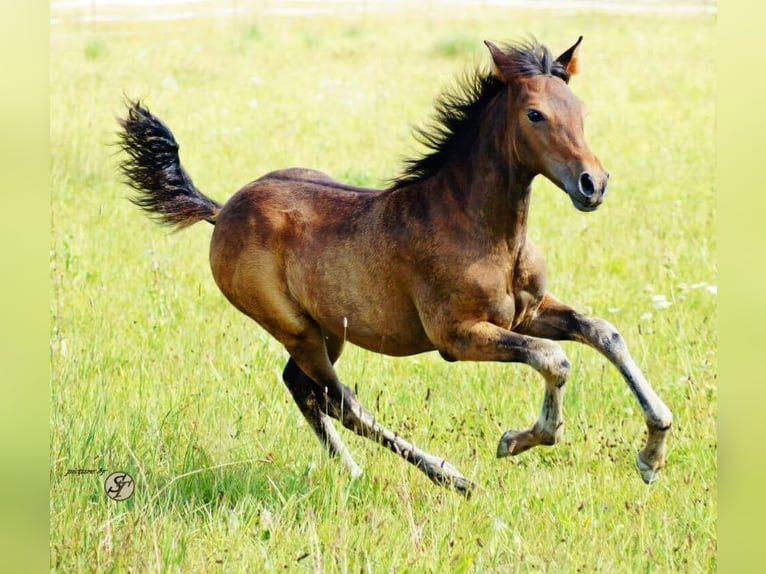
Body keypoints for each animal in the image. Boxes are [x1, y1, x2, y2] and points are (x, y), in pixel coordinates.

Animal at [117, 37, 676, 496]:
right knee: (340, 400)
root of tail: (222, 210)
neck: (484, 229)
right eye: (535, 114)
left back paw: (356, 472)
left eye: (580, 108)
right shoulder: (458, 336)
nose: (592, 184)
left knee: (304, 389)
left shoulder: (529, 311)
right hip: (293, 327)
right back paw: (450, 477)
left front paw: (652, 452)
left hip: (329, 329)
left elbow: (603, 333)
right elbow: (553, 359)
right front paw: (522, 438)